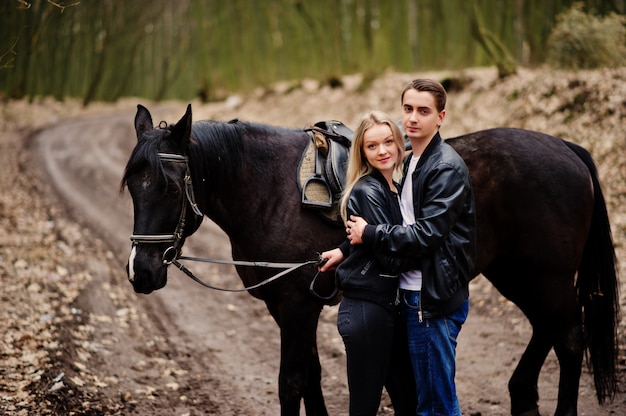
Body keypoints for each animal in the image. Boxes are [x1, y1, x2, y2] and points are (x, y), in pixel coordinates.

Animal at [119, 103, 616, 416]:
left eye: (169, 188)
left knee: (570, 339)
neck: (270, 189)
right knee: (547, 329)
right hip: (516, 274)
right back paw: (522, 395)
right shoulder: (292, 308)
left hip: (545, 276)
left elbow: (292, 383)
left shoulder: (298, 308)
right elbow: (313, 378)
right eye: (132, 188)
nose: (141, 271)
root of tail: (567, 149)